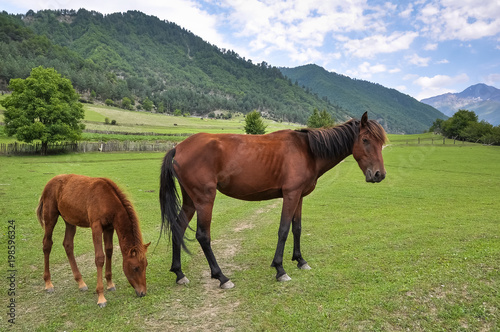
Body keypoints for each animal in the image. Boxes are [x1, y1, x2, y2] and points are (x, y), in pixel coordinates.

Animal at [38, 175, 149, 308]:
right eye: (135, 268)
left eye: (146, 265)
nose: (142, 293)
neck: (108, 200)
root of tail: (49, 183)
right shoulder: (96, 226)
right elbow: (100, 258)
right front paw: (101, 297)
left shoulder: (109, 227)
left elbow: (109, 251)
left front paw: (110, 284)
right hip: (51, 217)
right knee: (47, 244)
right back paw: (48, 283)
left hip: (69, 220)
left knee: (68, 244)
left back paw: (81, 282)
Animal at [160, 111, 386, 288]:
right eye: (365, 140)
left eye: (381, 143)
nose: (379, 175)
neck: (307, 150)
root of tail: (179, 147)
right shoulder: (290, 195)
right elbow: (284, 230)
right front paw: (280, 269)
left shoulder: (299, 196)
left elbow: (297, 228)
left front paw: (300, 260)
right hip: (205, 199)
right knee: (203, 236)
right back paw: (221, 277)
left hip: (191, 201)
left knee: (178, 227)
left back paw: (179, 273)